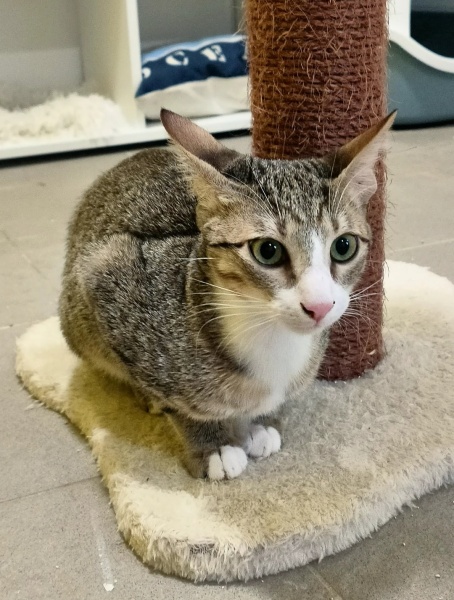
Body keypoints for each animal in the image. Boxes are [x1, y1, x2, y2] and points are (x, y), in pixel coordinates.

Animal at [59, 108, 395, 480]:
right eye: (267, 251)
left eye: (344, 246)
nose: (319, 306)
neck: (268, 335)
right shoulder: (108, 271)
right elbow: (179, 401)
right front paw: (212, 445)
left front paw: (264, 423)